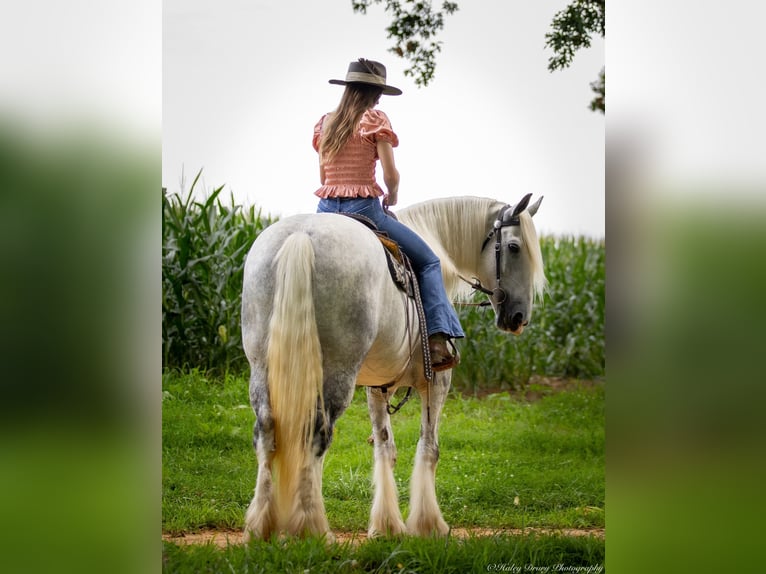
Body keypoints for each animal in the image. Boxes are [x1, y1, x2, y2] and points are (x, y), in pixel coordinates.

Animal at [240, 196, 544, 544]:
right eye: (514, 247)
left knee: (267, 432)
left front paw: (387, 526)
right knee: (318, 435)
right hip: (336, 373)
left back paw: (260, 527)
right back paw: (312, 528)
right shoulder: (437, 382)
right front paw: (429, 524)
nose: (518, 317)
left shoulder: (378, 387)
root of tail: (301, 236)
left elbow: (386, 448)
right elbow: (429, 448)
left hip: (262, 367)